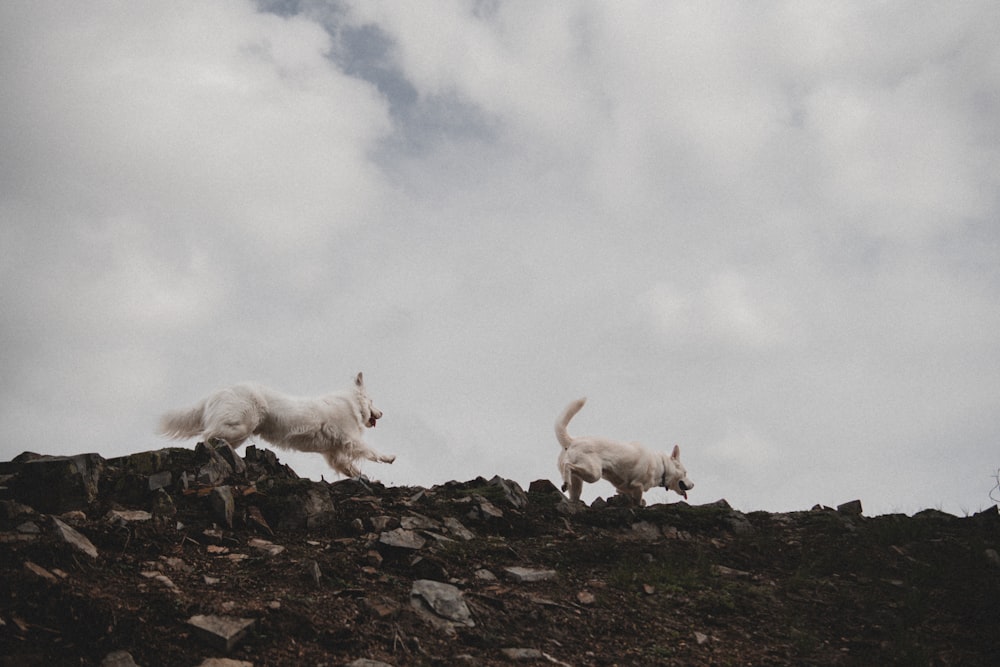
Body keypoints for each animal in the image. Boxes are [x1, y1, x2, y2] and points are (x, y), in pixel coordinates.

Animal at [158, 374, 392, 478]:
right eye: (372, 401)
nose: (382, 413)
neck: (352, 404)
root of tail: (216, 393)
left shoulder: (334, 454)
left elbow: (350, 468)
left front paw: (365, 479)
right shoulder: (351, 439)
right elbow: (370, 450)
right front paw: (389, 457)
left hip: (238, 432)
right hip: (240, 426)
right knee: (207, 435)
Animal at [556, 396, 696, 506]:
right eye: (685, 472)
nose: (694, 485)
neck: (662, 467)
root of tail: (572, 441)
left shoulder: (623, 489)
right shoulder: (637, 485)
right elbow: (639, 500)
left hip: (578, 484)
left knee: (572, 493)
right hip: (593, 473)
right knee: (568, 466)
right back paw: (565, 482)